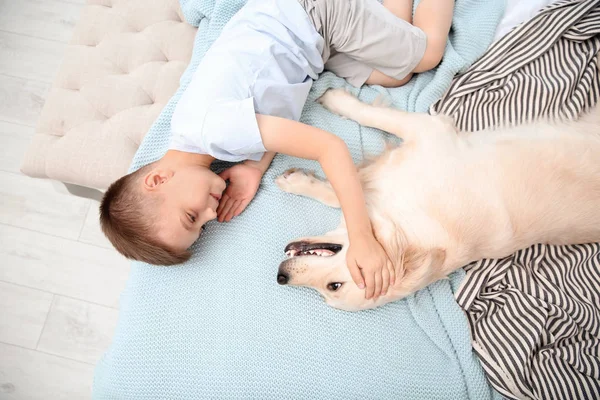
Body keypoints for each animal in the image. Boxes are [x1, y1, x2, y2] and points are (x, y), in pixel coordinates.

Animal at [276, 90, 600, 312]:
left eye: (333, 287)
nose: (280, 276)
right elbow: (341, 191)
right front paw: (299, 181)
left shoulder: (429, 131)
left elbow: (370, 122)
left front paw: (337, 100)